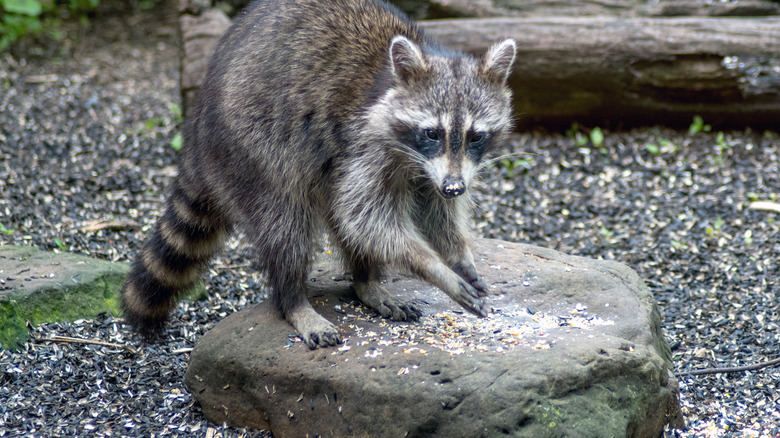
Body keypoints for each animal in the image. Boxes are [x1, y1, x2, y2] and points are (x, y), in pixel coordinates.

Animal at [119, 0, 516, 350]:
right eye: (432, 132)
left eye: (476, 136)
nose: (454, 187)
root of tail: (198, 127)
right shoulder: (365, 142)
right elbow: (365, 218)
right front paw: (434, 267)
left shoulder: (437, 170)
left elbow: (434, 211)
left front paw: (458, 255)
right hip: (252, 148)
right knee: (287, 224)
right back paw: (295, 300)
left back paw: (366, 281)